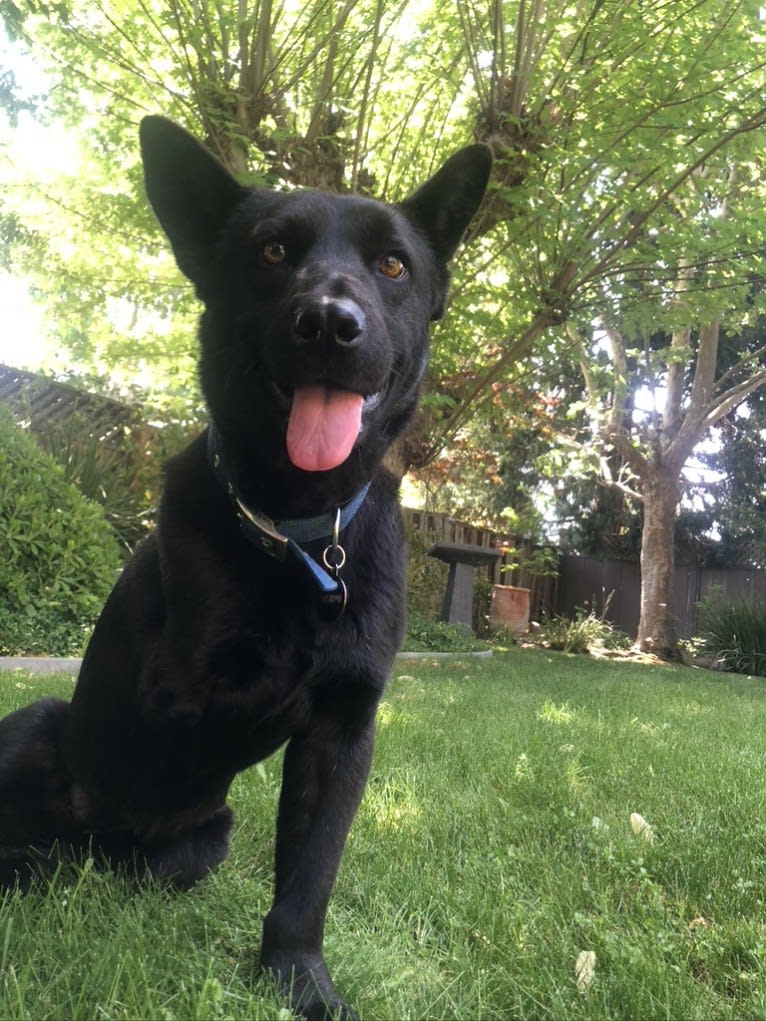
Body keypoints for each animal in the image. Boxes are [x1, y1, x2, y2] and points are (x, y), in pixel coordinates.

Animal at [0, 115, 492, 1016]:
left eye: (392, 264)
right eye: (272, 251)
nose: (330, 322)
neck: (300, 528)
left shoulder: (342, 733)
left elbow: (308, 878)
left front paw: (297, 977)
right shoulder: (186, 692)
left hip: (200, 841)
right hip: (33, 725)